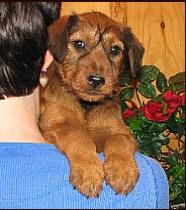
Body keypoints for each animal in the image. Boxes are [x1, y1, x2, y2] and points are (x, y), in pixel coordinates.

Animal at [38, 12, 144, 198]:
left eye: (115, 50)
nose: (96, 80)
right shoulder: (54, 124)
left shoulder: (121, 130)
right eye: (78, 43)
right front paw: (89, 172)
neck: (86, 106)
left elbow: (118, 140)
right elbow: (79, 136)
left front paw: (122, 171)